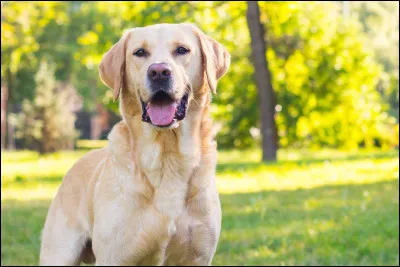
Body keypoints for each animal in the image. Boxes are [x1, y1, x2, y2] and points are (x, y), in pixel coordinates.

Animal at [39, 22, 231, 266]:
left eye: (182, 50)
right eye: (140, 52)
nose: (159, 71)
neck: (167, 156)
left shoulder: (198, 257)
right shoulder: (114, 257)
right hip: (59, 252)